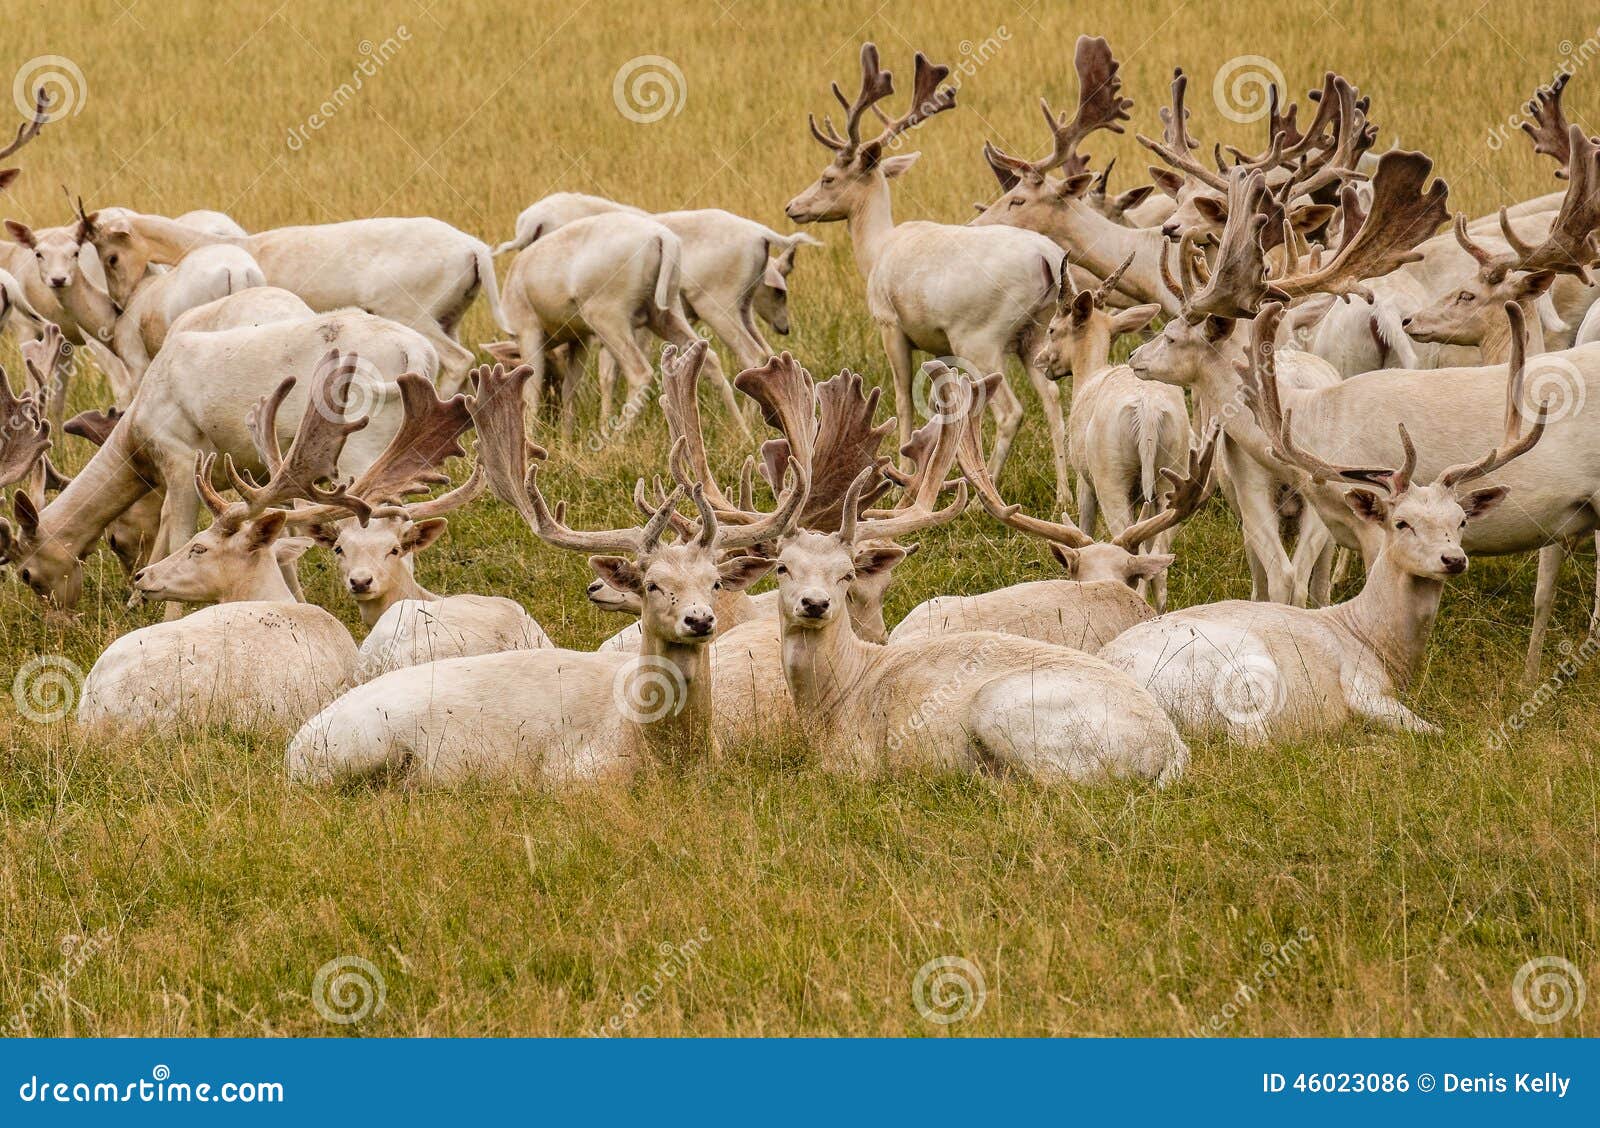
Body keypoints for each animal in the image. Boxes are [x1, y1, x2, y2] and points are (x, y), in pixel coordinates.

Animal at [284, 342, 812, 784]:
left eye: (715, 583)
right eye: (651, 584)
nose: (700, 620)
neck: (664, 749)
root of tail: (295, 748)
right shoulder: (574, 774)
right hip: (361, 747)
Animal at [780, 44, 1068, 499]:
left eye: (827, 177)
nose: (792, 206)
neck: (877, 249)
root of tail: (1047, 259)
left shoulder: (891, 324)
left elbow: (902, 400)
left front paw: (901, 483)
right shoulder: (938, 345)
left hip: (980, 337)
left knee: (1011, 411)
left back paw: (985, 493)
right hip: (1035, 333)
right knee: (1054, 397)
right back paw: (1063, 496)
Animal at [1107, 300, 1542, 739]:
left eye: (1460, 521)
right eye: (1401, 523)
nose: (1453, 559)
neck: (1373, 641)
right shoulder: (1365, 689)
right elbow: (1437, 731)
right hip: (1244, 676)